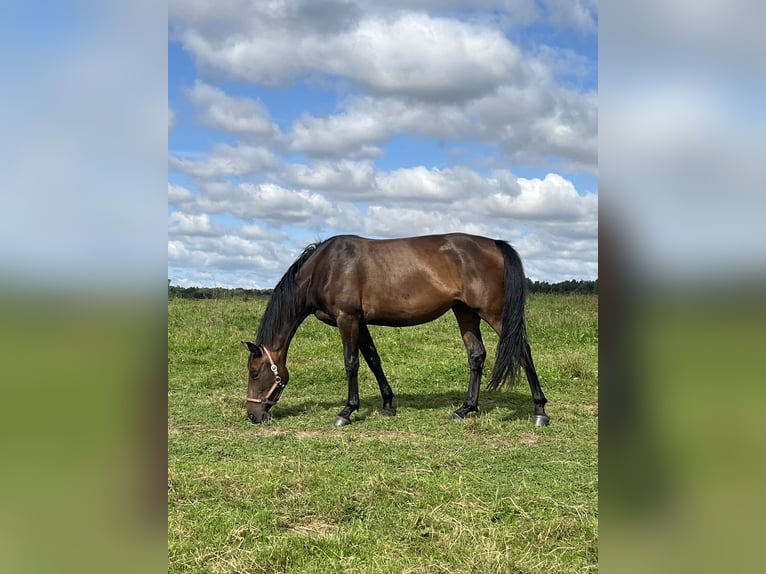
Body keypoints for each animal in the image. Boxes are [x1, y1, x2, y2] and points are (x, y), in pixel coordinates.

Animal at [243, 233, 548, 428]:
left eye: (255, 372)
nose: (252, 415)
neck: (325, 268)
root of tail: (495, 245)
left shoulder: (347, 319)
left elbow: (351, 363)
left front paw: (347, 411)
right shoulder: (360, 322)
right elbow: (373, 360)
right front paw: (388, 405)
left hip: (493, 313)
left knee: (522, 349)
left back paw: (539, 411)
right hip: (465, 312)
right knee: (476, 355)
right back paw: (465, 409)